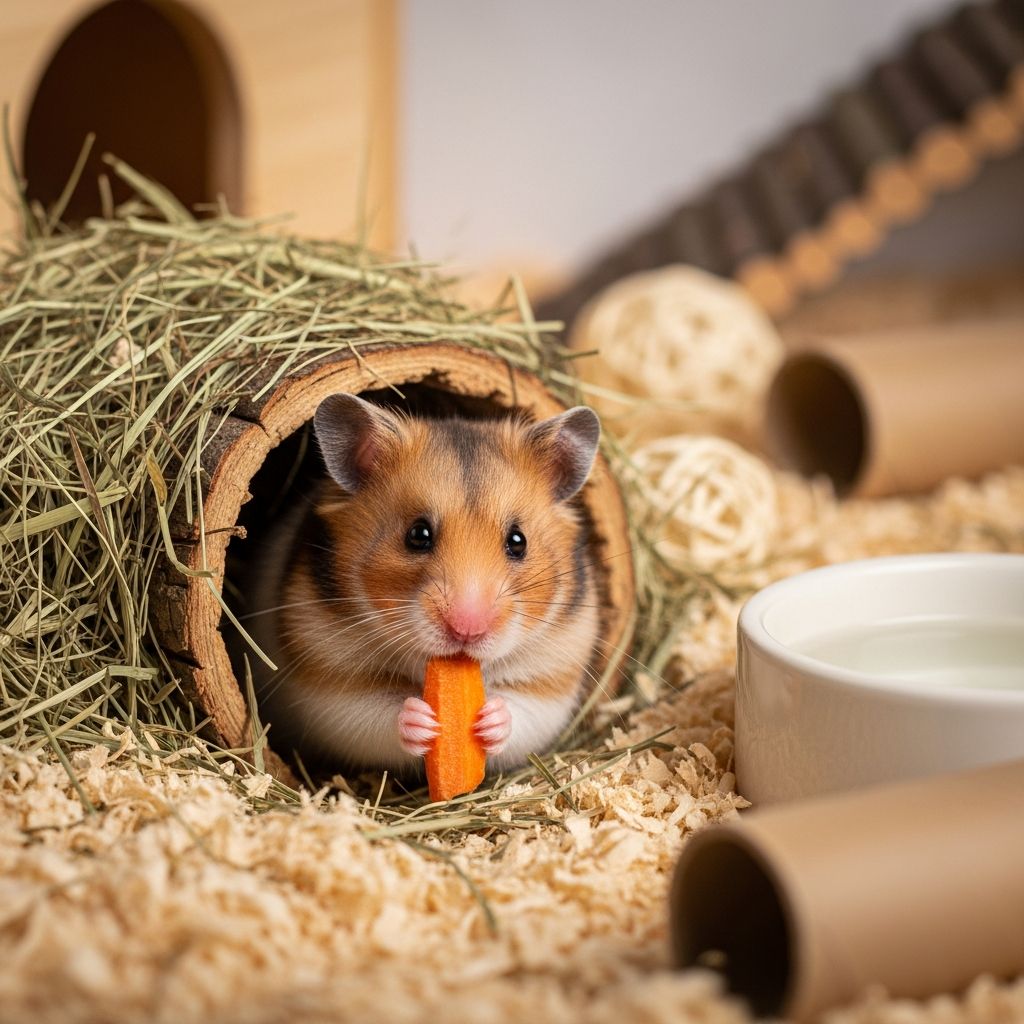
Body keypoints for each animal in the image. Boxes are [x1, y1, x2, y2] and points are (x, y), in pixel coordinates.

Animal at [246, 394, 603, 776]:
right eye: (417, 535)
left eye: (518, 541)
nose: (467, 630)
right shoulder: (324, 679)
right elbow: (370, 713)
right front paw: (423, 720)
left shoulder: (556, 673)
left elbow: (523, 713)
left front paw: (490, 719)